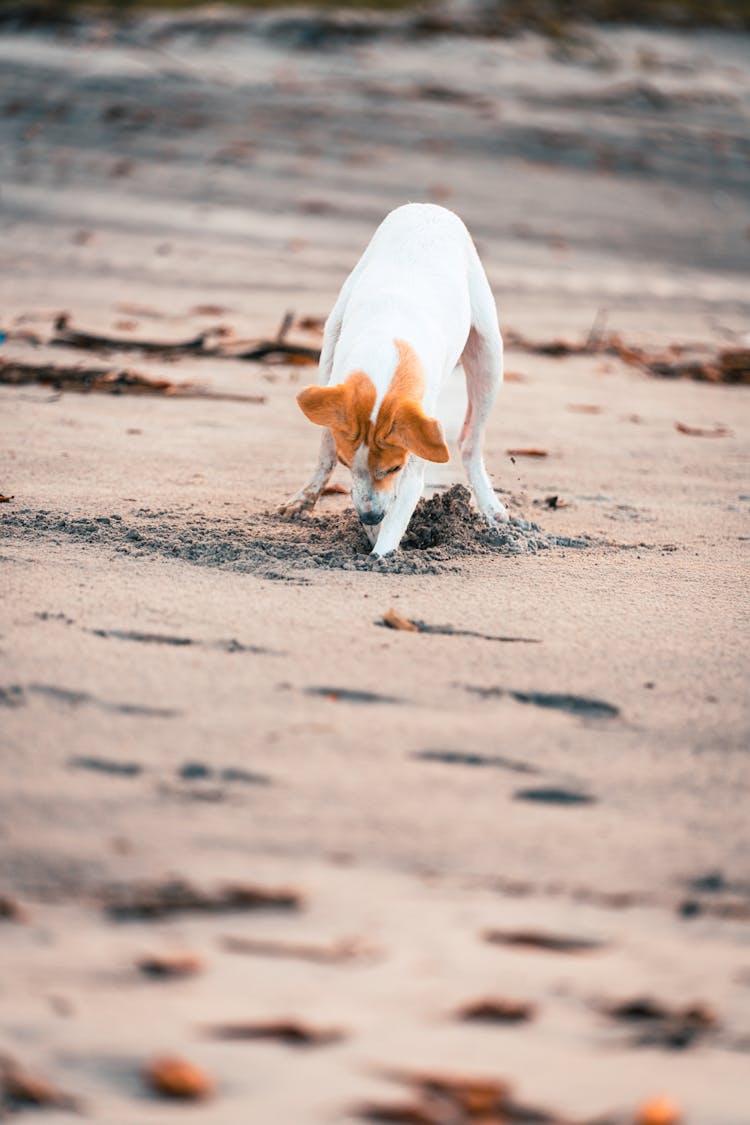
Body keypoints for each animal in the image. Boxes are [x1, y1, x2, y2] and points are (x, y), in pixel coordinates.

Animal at [281, 207, 510, 558]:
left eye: (393, 469)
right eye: (348, 464)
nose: (370, 515)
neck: (384, 353)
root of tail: (429, 207)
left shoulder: (413, 459)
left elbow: (398, 512)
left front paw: (380, 554)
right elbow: (334, 457)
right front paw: (370, 533)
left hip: (489, 357)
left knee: (471, 444)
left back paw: (491, 507)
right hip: (331, 339)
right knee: (324, 445)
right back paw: (305, 497)